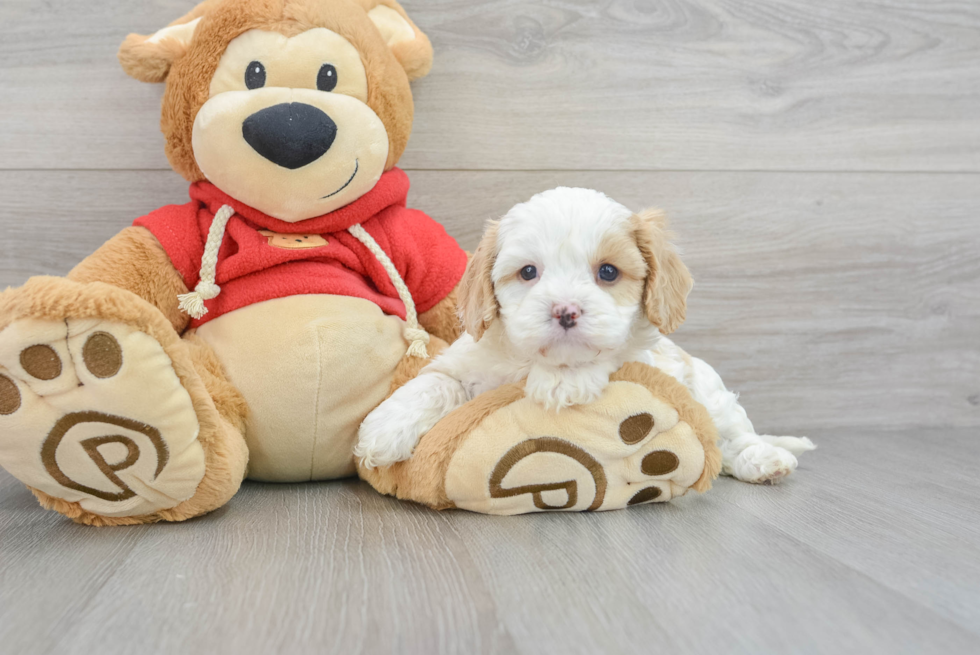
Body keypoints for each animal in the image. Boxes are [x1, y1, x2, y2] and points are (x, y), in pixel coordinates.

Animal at [356, 187, 816, 484]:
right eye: (528, 272)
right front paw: (382, 431)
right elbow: (434, 384)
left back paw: (765, 459)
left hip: (709, 391)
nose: (566, 311)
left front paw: (564, 382)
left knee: (731, 434)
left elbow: (604, 355)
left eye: (608, 272)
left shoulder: (638, 355)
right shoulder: (461, 361)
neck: (531, 361)